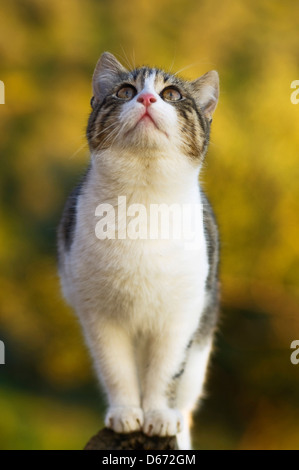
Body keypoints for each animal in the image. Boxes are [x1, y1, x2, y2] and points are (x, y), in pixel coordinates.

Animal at [56, 52, 220, 452]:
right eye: (125, 91)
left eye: (172, 94)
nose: (146, 98)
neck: (143, 202)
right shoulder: (98, 314)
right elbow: (115, 368)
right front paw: (126, 413)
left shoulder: (182, 315)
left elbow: (166, 371)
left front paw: (158, 415)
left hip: (201, 348)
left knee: (186, 403)